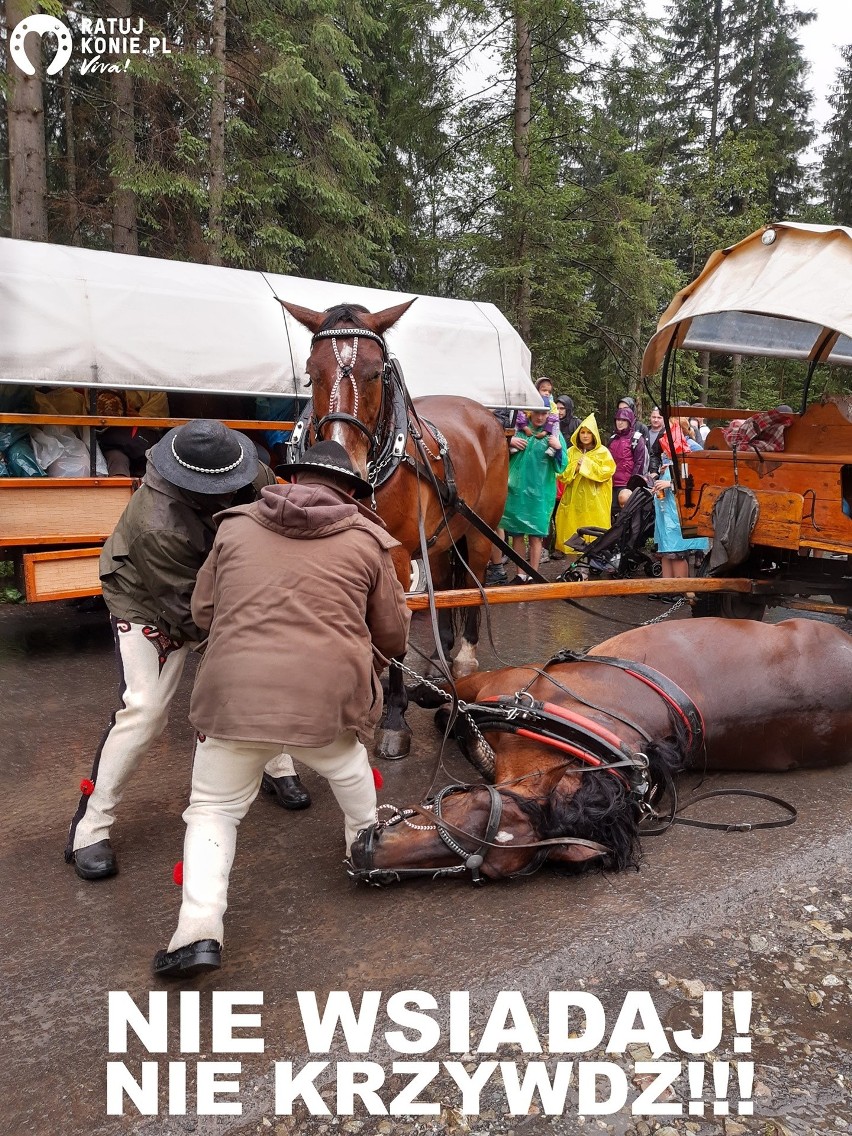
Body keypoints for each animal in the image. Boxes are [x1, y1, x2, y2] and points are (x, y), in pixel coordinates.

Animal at [280, 297, 511, 758]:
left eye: (375, 373)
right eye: (312, 373)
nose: (341, 459)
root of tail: (485, 415)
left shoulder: (400, 557)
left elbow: (396, 633)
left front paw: (394, 717)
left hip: (480, 531)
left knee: (473, 585)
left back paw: (464, 656)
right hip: (440, 539)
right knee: (444, 585)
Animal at [347, 617, 852, 881]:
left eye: (483, 870)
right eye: (470, 803)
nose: (365, 854)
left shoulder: (496, 685)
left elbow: (450, 711)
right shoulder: (496, 682)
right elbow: (445, 700)